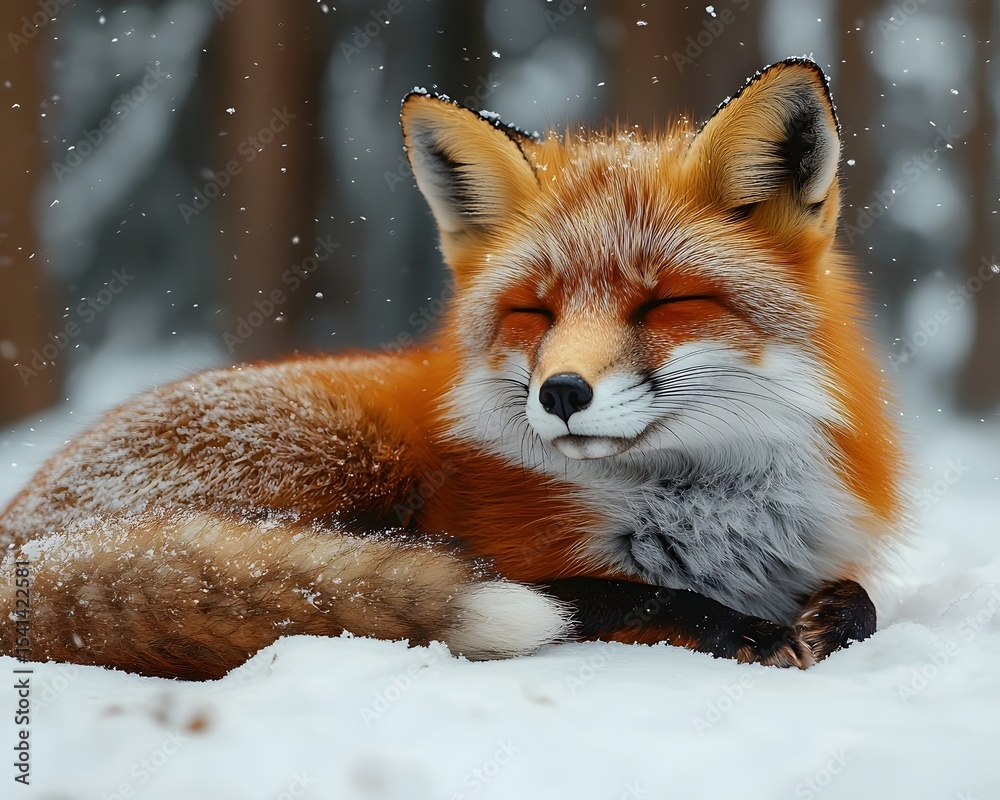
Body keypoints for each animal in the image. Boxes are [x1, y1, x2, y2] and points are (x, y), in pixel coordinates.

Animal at [0, 59, 904, 680]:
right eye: (534, 312)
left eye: (663, 304)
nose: (561, 393)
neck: (713, 509)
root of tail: (28, 536)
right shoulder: (523, 559)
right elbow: (628, 594)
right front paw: (746, 631)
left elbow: (863, 604)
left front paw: (826, 618)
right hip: (342, 449)